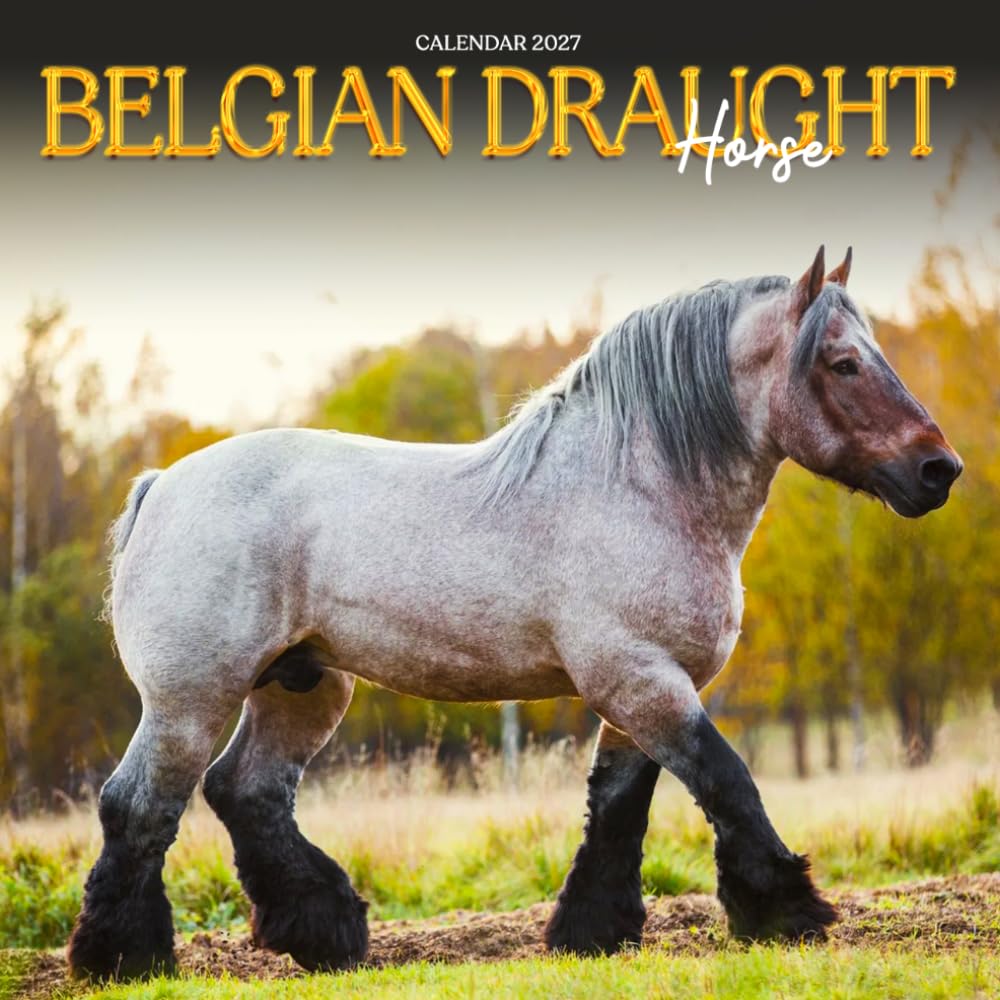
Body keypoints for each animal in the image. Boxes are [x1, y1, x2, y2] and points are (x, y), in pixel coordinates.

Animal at [67, 247, 962, 979]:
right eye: (843, 364)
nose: (939, 469)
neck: (638, 485)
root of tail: (160, 487)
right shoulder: (641, 680)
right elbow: (727, 781)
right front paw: (787, 911)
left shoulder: (637, 692)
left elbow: (618, 807)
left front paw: (590, 933)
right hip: (190, 701)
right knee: (139, 805)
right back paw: (126, 959)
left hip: (303, 686)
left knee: (245, 792)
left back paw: (326, 933)